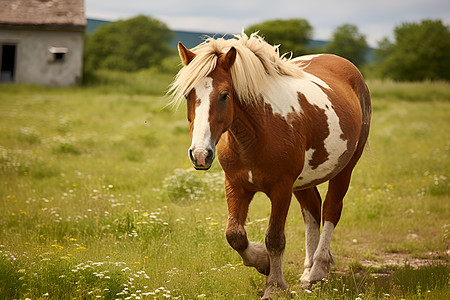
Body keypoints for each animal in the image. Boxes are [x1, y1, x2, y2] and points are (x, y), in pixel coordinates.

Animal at [169, 32, 370, 298]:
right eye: (187, 95)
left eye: (224, 94)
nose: (201, 154)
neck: (257, 133)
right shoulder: (236, 185)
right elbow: (234, 235)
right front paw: (262, 262)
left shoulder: (281, 189)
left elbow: (275, 238)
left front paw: (274, 286)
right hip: (303, 182)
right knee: (312, 210)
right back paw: (307, 272)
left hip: (345, 169)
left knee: (330, 210)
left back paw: (318, 270)